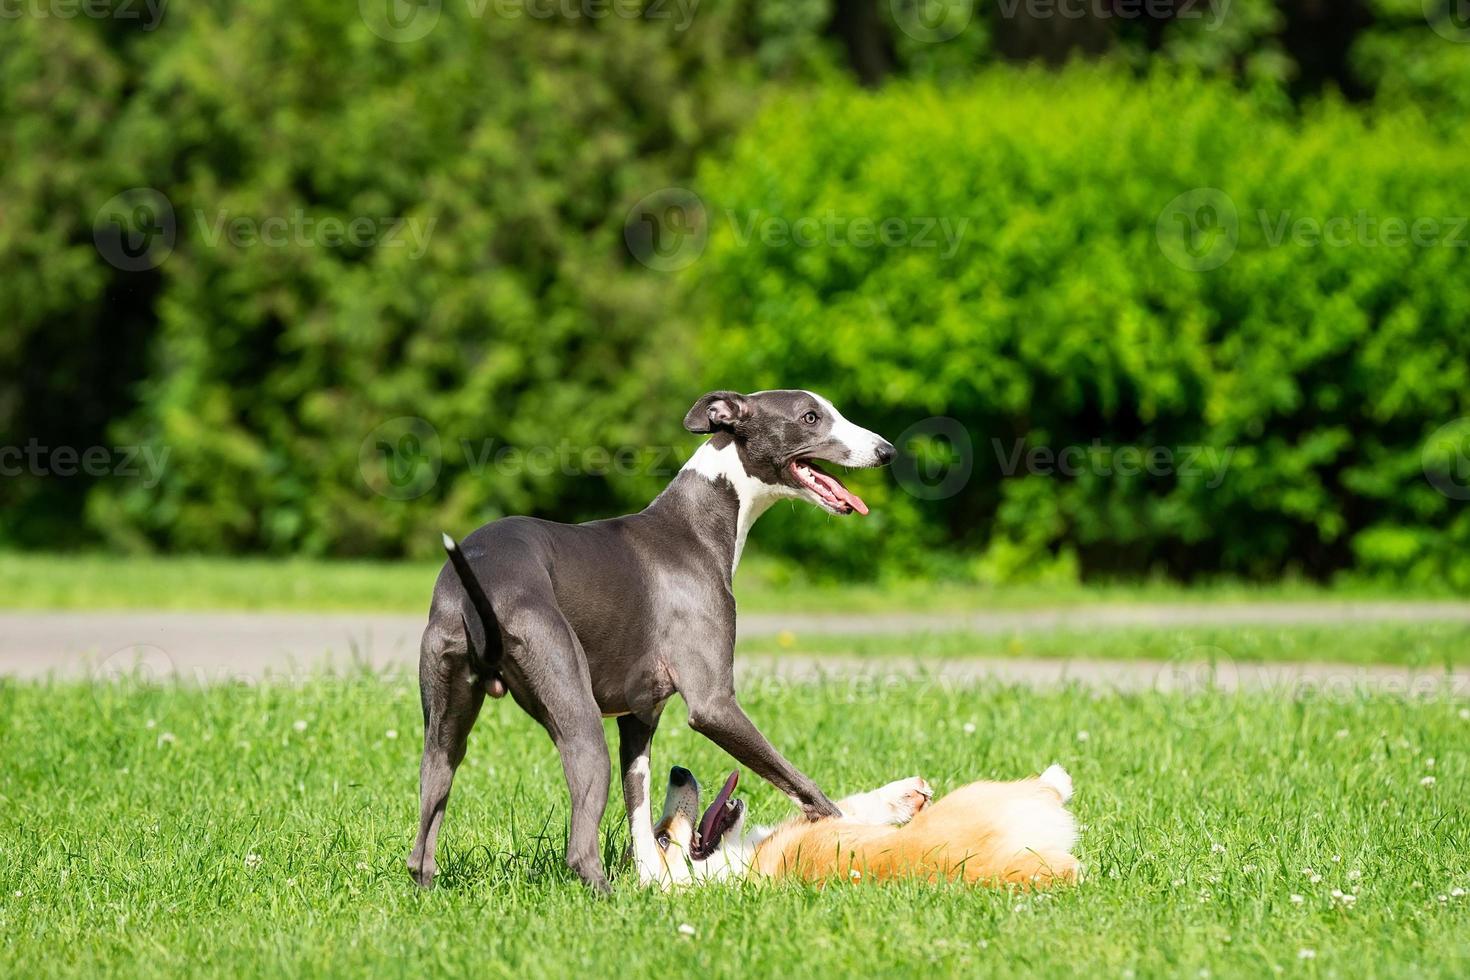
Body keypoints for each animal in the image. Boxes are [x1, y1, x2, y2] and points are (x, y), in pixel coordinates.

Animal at [411, 387, 893, 887]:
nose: (887, 451)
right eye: (811, 417)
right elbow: (806, 787)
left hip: (444, 732)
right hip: (580, 722)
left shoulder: (639, 716)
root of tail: (480, 582)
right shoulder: (714, 705)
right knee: (579, 849)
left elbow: (640, 813)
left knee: (423, 841)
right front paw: (864, 825)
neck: (696, 526)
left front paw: (650, 879)